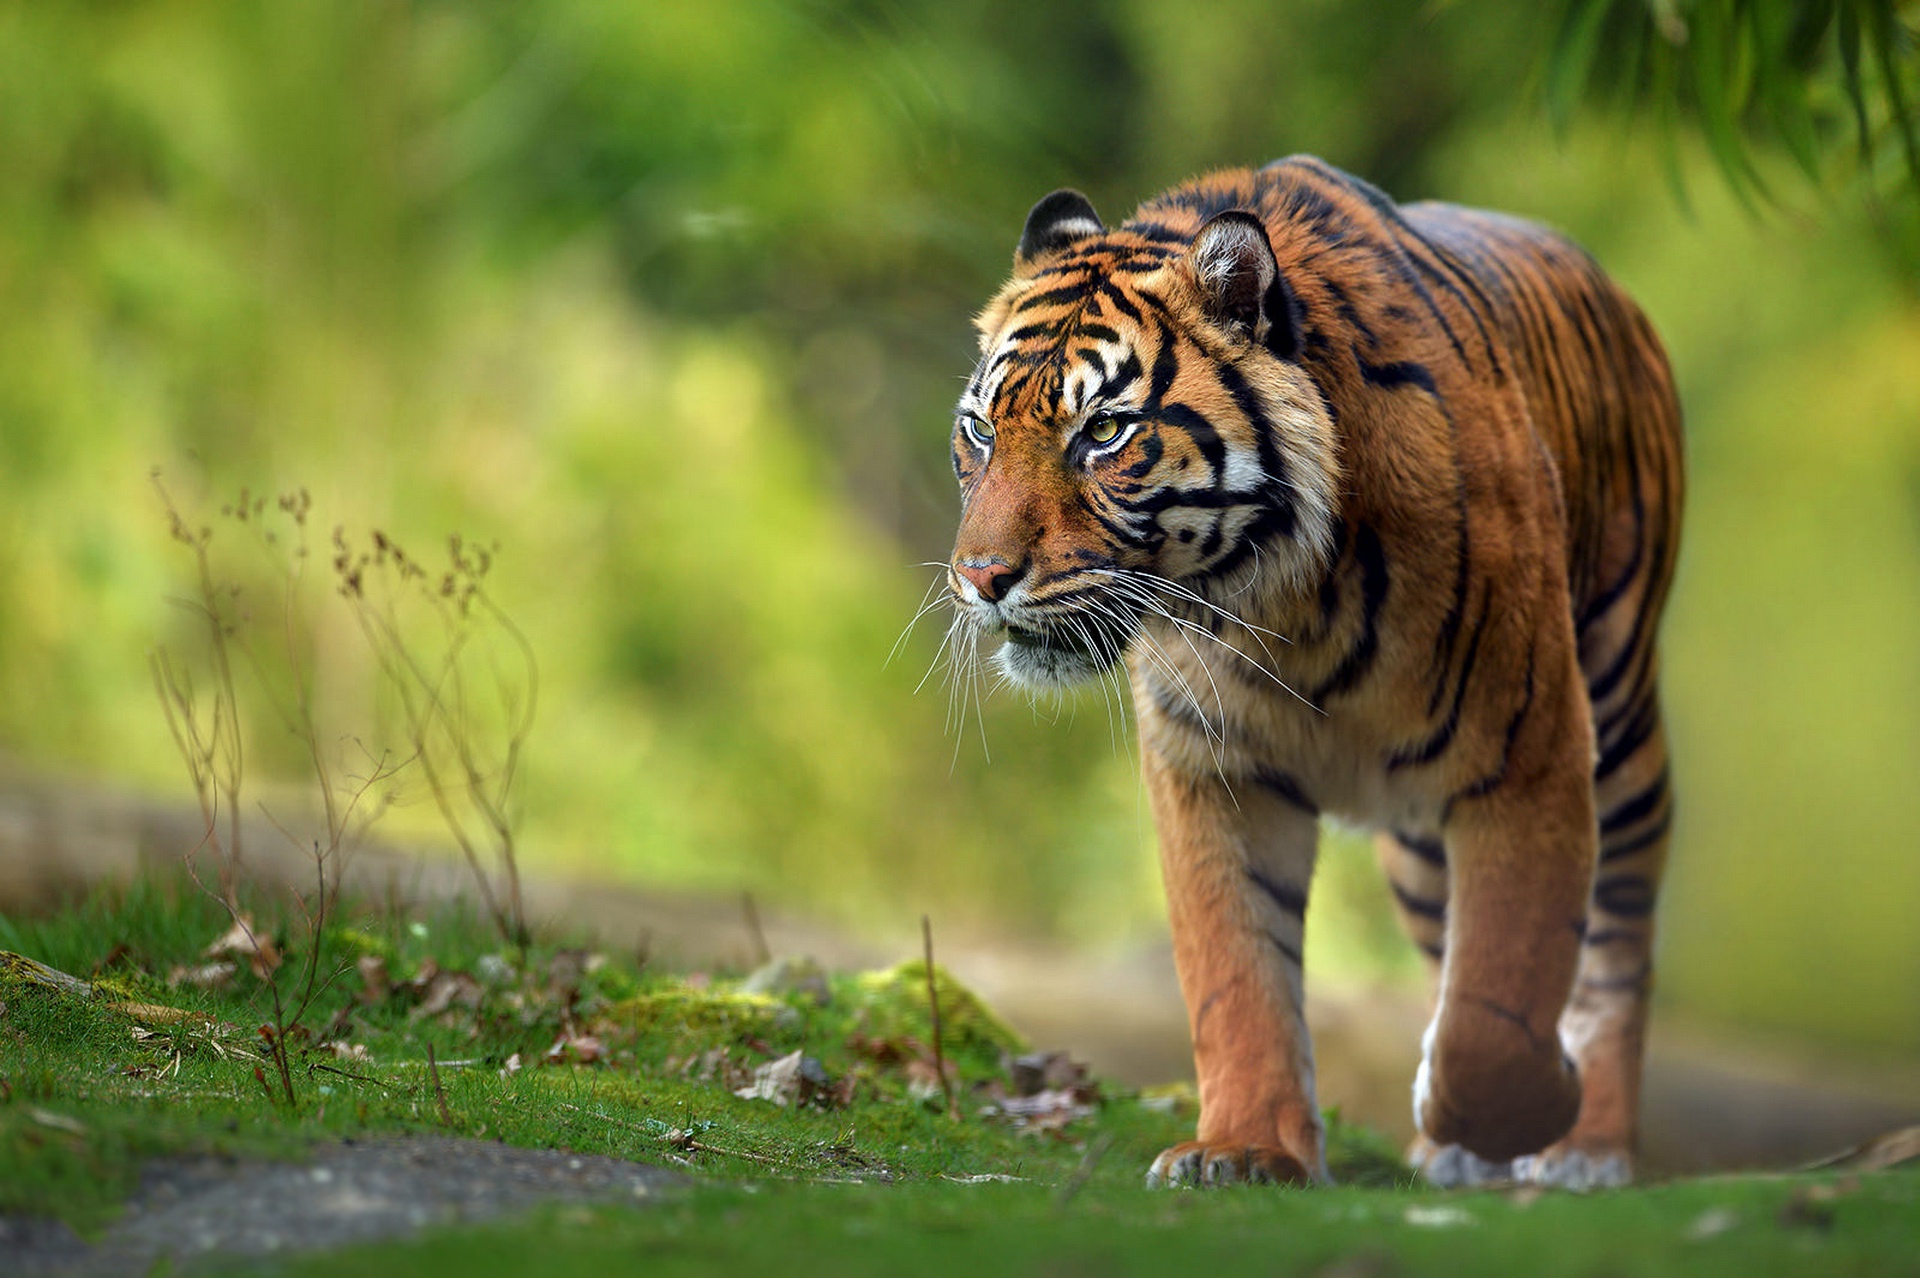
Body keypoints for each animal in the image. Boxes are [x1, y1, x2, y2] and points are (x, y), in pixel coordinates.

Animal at [944, 156, 1681, 1182]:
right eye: (979, 430)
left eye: (1102, 433)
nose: (980, 578)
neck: (1279, 601)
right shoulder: (1216, 770)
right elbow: (1236, 977)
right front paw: (1244, 1148)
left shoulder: (1529, 754)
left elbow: (1499, 1005)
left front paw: (1536, 1102)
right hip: (1419, 845)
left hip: (1618, 715)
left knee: (1617, 941)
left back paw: (1589, 1146)